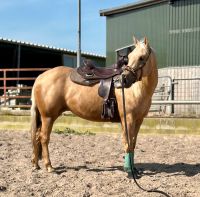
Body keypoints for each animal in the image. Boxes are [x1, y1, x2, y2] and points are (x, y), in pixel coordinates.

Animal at [30, 36, 158, 172]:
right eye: (129, 56)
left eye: (142, 57)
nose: (122, 81)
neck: (137, 89)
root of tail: (40, 77)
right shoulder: (127, 118)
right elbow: (127, 143)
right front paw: (128, 169)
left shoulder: (138, 120)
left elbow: (133, 143)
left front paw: (133, 168)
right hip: (48, 116)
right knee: (44, 138)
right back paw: (49, 166)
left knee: (37, 137)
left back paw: (36, 164)